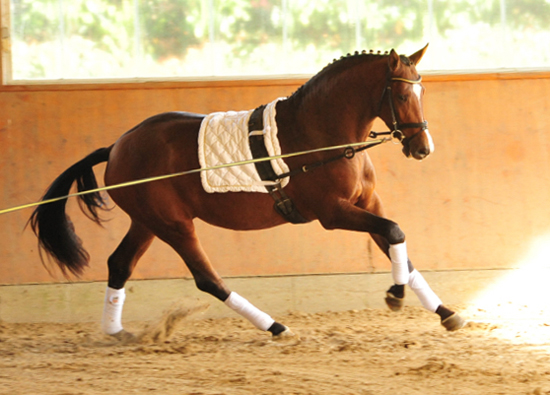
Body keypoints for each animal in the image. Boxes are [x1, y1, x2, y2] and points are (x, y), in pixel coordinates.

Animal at [29, 45, 466, 338]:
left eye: (422, 92)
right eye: (403, 94)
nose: (423, 148)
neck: (320, 133)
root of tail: (118, 145)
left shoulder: (366, 203)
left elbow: (399, 248)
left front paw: (445, 312)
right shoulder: (333, 212)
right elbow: (394, 232)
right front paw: (395, 295)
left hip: (148, 222)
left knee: (120, 264)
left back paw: (116, 332)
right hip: (174, 225)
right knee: (207, 280)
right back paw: (275, 327)